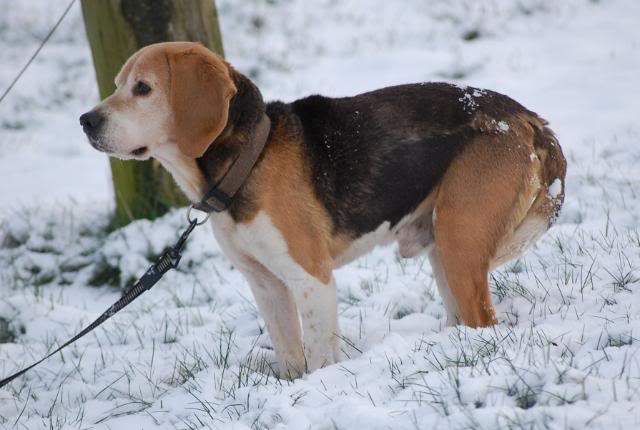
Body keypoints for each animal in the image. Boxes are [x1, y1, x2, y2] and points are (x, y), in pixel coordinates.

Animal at [79, 40, 564, 376]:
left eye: (143, 88)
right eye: (117, 85)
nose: (86, 120)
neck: (246, 160)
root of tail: (528, 118)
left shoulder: (311, 279)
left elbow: (319, 356)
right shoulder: (266, 285)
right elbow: (291, 357)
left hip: (459, 243)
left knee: (485, 322)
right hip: (445, 251)